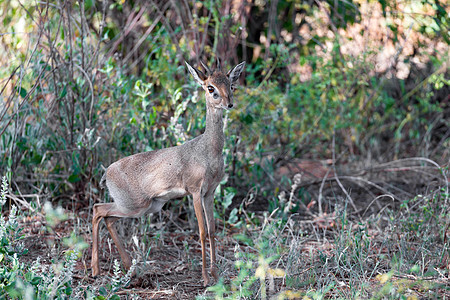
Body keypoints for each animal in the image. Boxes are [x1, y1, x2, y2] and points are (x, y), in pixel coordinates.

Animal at [92, 58, 246, 286]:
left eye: (231, 85)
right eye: (211, 88)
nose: (229, 104)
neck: (209, 151)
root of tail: (106, 174)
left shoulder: (210, 193)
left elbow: (212, 231)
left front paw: (216, 275)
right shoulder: (195, 192)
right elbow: (201, 232)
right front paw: (205, 278)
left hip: (147, 207)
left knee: (107, 218)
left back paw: (129, 269)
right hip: (134, 207)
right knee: (98, 210)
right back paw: (95, 269)